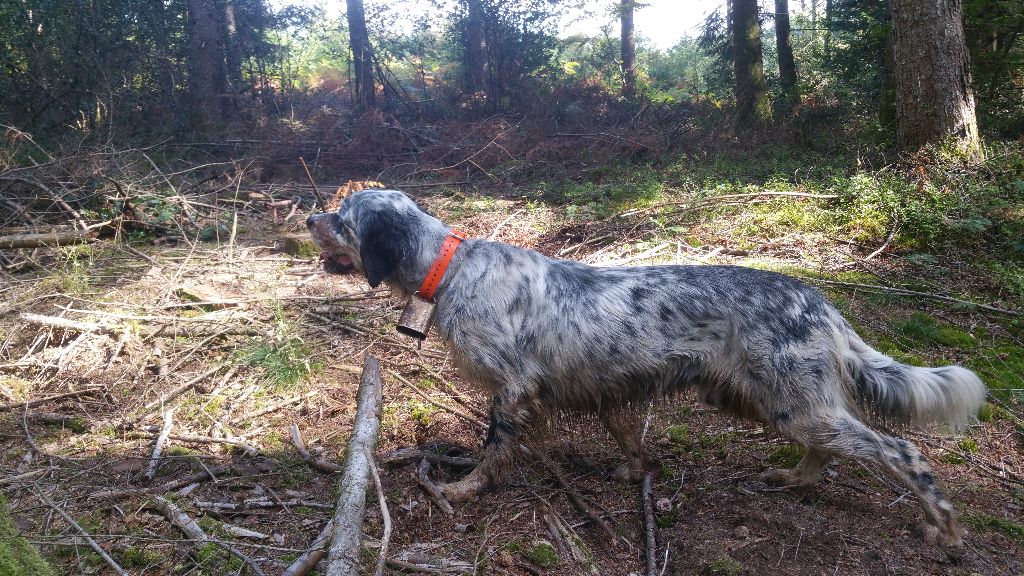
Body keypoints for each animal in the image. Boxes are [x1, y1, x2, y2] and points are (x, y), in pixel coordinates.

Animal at [303, 187, 983, 541]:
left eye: (343, 215)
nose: (308, 216)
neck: (450, 270)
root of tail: (822, 303)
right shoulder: (606, 389)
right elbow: (629, 439)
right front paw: (637, 474)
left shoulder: (513, 388)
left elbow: (494, 449)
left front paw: (464, 488)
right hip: (784, 402)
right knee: (830, 448)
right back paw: (797, 479)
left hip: (798, 403)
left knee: (902, 452)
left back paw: (944, 527)